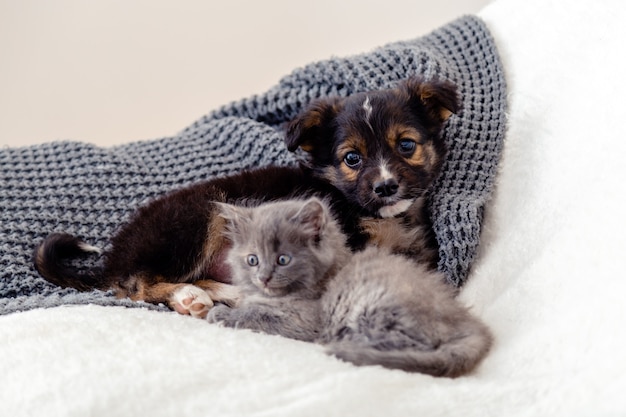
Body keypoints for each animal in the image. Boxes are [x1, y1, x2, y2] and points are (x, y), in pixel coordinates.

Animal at [35, 75, 458, 316]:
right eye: (351, 158)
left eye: (406, 145)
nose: (386, 186)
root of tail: (116, 253)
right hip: (200, 218)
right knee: (135, 286)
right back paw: (187, 297)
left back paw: (234, 295)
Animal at [210, 197, 492, 376]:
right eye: (252, 260)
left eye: (283, 260)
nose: (264, 278)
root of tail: (471, 324)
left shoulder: (305, 320)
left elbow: (257, 315)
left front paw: (220, 313)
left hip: (376, 308)